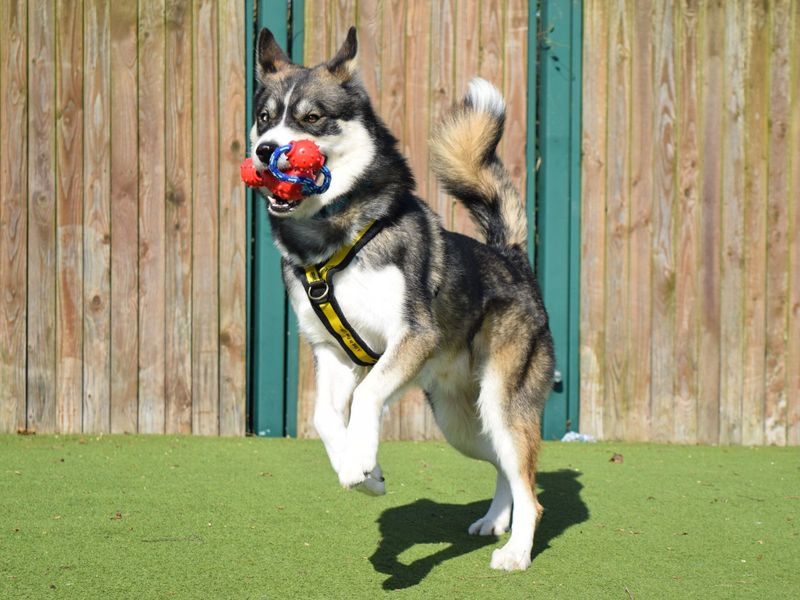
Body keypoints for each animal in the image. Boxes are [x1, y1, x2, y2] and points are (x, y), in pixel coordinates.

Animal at [253, 28, 552, 572]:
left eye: (311, 118)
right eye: (265, 117)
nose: (266, 152)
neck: (335, 237)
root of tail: (511, 255)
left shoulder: (412, 336)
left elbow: (368, 396)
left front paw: (360, 464)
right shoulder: (330, 352)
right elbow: (325, 419)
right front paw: (362, 472)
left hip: (502, 401)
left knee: (529, 486)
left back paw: (517, 550)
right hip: (460, 423)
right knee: (505, 466)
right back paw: (495, 520)